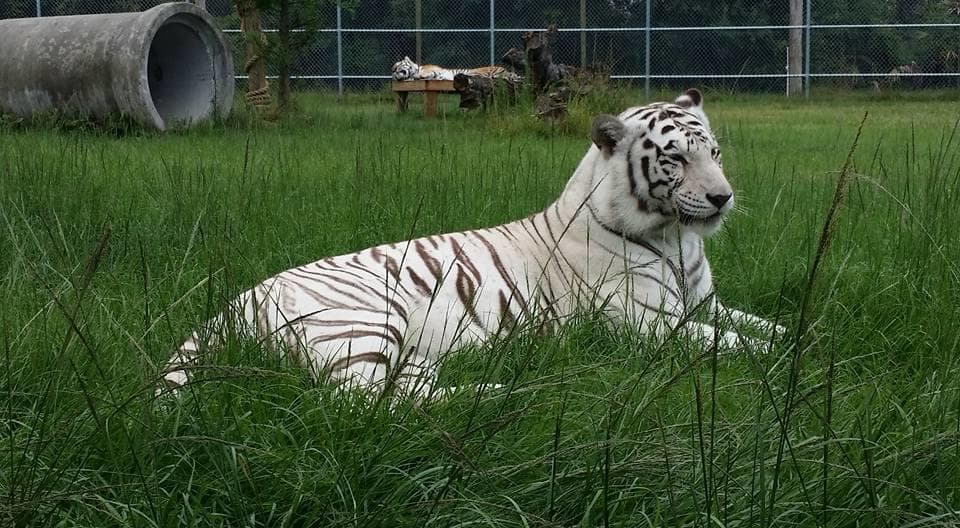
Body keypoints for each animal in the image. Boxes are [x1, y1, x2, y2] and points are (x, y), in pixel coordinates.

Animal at [158, 89, 783, 401]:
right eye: (676, 158)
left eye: (715, 153)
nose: (723, 197)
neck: (677, 239)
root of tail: (240, 297)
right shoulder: (647, 322)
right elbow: (735, 343)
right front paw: (794, 356)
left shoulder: (703, 303)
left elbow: (762, 325)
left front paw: (797, 334)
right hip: (363, 323)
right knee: (364, 403)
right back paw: (506, 392)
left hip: (403, 350)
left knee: (408, 389)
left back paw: (495, 386)